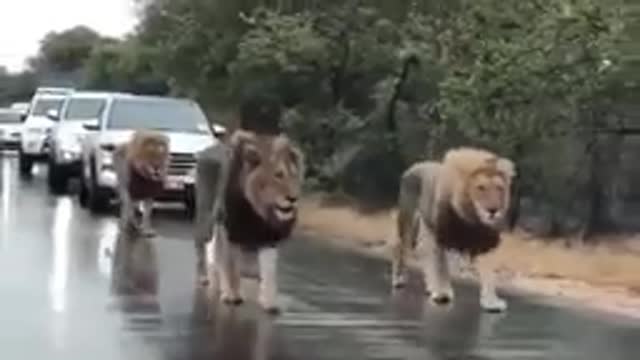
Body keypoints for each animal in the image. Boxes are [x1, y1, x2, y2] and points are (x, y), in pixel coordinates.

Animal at [194, 129, 304, 312]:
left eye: (294, 177)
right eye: (278, 175)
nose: (293, 198)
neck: (258, 211)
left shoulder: (268, 237)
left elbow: (269, 271)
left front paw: (269, 302)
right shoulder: (229, 230)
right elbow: (230, 265)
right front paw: (231, 295)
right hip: (206, 219)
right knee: (201, 247)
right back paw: (204, 277)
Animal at [390, 146, 516, 312]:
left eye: (499, 188)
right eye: (481, 188)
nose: (493, 210)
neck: (472, 218)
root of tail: (416, 165)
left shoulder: (486, 242)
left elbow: (489, 274)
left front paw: (491, 301)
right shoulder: (441, 237)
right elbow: (441, 267)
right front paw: (442, 293)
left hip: (427, 228)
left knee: (424, 252)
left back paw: (430, 286)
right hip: (409, 222)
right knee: (401, 249)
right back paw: (399, 279)